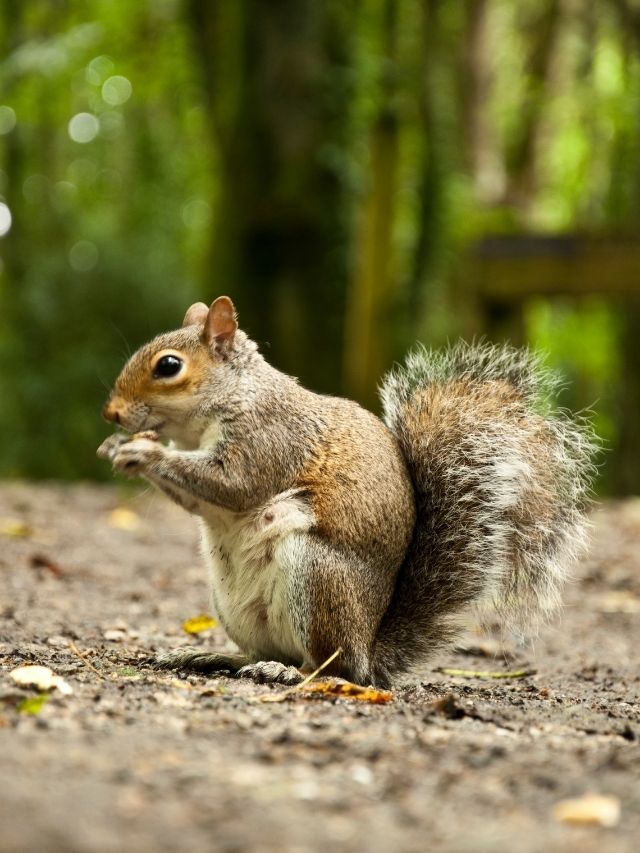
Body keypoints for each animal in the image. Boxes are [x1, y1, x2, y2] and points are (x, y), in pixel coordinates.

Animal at [98, 296, 596, 687]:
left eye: (168, 366)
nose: (111, 413)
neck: (234, 397)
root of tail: (367, 649)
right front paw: (118, 447)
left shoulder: (271, 439)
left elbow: (233, 486)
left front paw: (143, 452)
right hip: (234, 605)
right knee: (267, 651)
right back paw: (214, 655)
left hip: (316, 578)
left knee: (328, 668)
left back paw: (288, 673)